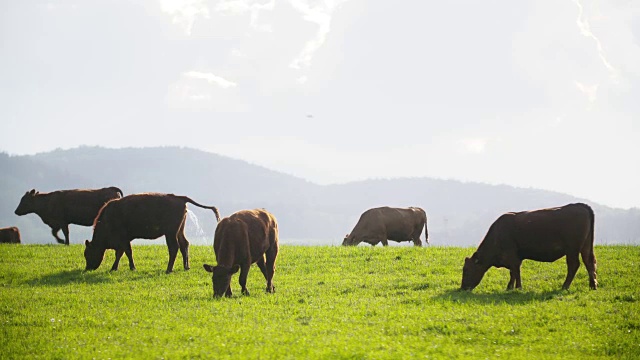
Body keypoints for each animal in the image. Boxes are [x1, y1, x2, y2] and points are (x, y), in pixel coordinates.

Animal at [85, 194, 220, 272]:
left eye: (87, 254)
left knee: (174, 247)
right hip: (179, 230)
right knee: (184, 244)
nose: (88, 268)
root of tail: (179, 198)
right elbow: (121, 253)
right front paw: (115, 268)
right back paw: (186, 267)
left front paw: (131, 268)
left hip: (170, 233)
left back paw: (168, 269)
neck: (108, 218)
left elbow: (126, 252)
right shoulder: (124, 240)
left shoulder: (123, 239)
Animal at [462, 202, 596, 292]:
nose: (462, 288)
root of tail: (581, 206)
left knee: (574, 265)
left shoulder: (513, 257)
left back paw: (565, 286)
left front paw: (518, 288)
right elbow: (512, 273)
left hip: (572, 249)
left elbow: (515, 272)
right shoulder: (515, 258)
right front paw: (510, 288)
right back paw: (593, 285)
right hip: (586, 246)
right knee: (589, 262)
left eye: (466, 270)